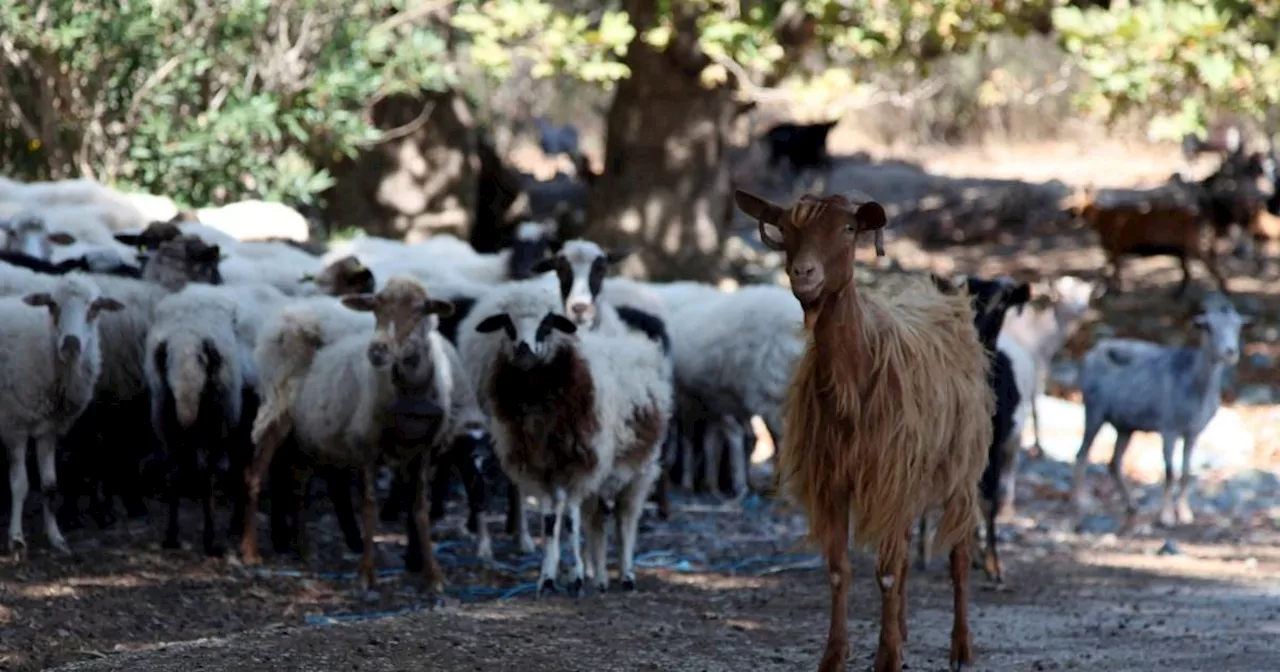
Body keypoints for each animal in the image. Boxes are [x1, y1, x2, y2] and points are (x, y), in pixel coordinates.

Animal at [2, 273, 124, 555]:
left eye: (94, 308)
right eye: (52, 305)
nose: (70, 345)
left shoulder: (49, 430)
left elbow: (50, 486)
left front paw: (56, 538)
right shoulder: (15, 425)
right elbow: (20, 484)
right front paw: (16, 538)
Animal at [732, 186, 988, 670]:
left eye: (849, 229)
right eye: (786, 228)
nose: (804, 272)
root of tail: (946, 299)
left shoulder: (887, 475)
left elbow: (885, 573)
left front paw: (886, 658)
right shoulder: (834, 480)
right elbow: (840, 570)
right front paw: (837, 655)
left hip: (960, 468)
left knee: (960, 553)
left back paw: (961, 647)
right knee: (905, 553)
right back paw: (904, 631)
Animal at [1059, 185, 1228, 295]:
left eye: (1073, 200)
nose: (1067, 212)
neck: (1100, 218)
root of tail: (1194, 216)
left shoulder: (1114, 248)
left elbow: (1110, 271)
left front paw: (1114, 291)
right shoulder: (1114, 250)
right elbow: (1109, 270)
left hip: (1191, 243)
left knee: (1208, 263)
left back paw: (1224, 287)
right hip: (1182, 249)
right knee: (1187, 272)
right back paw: (1178, 294)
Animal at [1075, 300, 1244, 527]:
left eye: (1238, 326)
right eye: (1208, 326)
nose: (1230, 352)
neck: (1194, 384)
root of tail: (1091, 353)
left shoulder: (1193, 432)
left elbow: (1186, 473)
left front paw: (1186, 514)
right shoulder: (1168, 429)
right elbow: (1170, 472)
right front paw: (1166, 517)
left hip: (1125, 426)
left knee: (1114, 463)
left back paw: (1132, 505)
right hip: (1094, 411)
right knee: (1082, 454)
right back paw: (1081, 501)